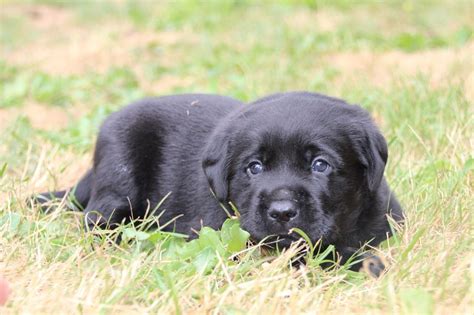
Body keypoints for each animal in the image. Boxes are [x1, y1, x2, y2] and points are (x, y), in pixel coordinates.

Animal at [35, 91, 402, 276]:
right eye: (254, 167)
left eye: (320, 165)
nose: (282, 212)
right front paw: (365, 263)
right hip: (118, 167)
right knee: (98, 221)